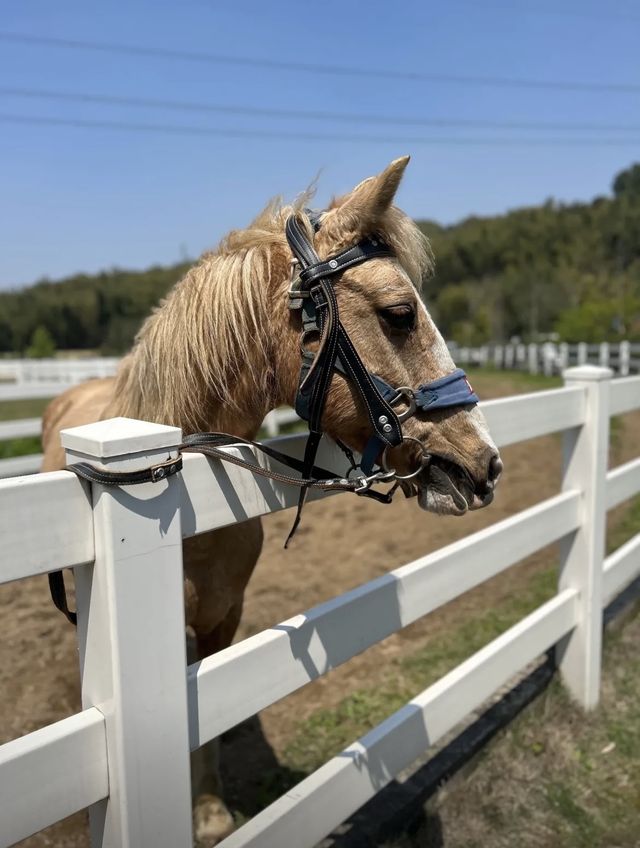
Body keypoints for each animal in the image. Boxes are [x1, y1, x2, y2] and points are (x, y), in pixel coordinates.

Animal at [42, 156, 504, 844]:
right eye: (399, 314)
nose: (486, 464)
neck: (189, 501)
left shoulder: (221, 619)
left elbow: (202, 723)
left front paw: (207, 808)